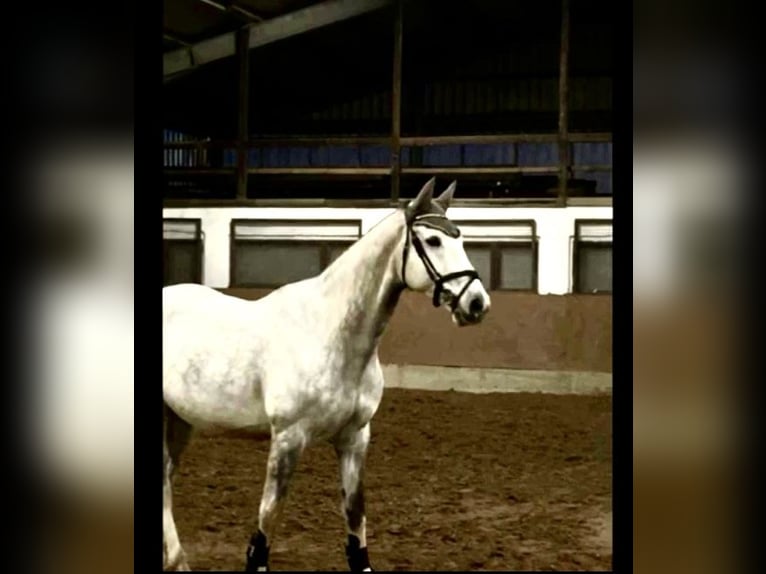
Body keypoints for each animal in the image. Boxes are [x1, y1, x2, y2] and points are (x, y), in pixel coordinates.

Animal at [162, 178, 491, 571]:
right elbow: (269, 516)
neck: (331, 333)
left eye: (460, 238)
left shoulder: (354, 438)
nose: (477, 303)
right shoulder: (288, 438)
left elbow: (355, 516)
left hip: (179, 420)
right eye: (432, 241)